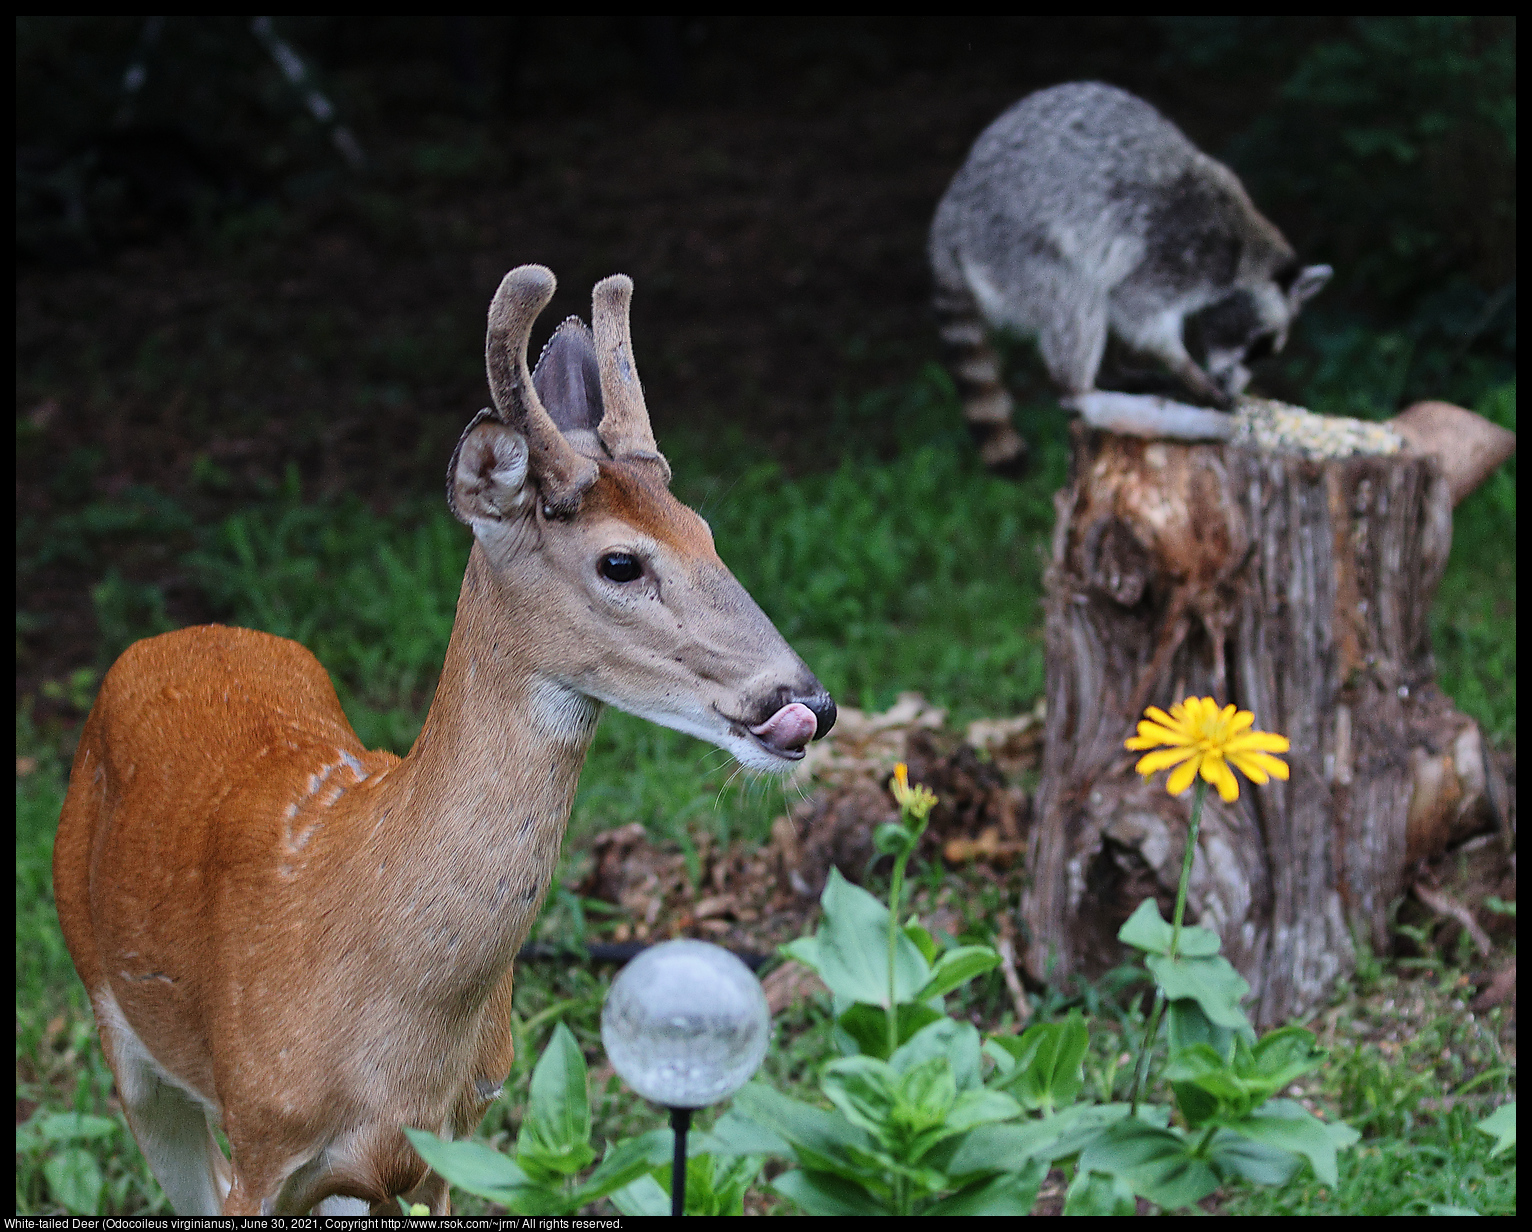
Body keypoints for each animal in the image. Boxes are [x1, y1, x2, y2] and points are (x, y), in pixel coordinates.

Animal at [54, 262, 833, 1213]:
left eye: (707, 532)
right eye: (620, 562)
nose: (806, 702)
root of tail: (172, 637)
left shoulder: (451, 1140)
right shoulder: (264, 1128)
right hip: (118, 1023)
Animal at [925, 78, 1335, 471]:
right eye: (1257, 344)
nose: (1235, 387)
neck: (1248, 256)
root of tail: (951, 217)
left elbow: (1124, 311)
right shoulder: (1179, 249)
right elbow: (1136, 310)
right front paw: (1186, 368)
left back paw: (1114, 375)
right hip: (1012, 246)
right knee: (1076, 294)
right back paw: (1090, 396)